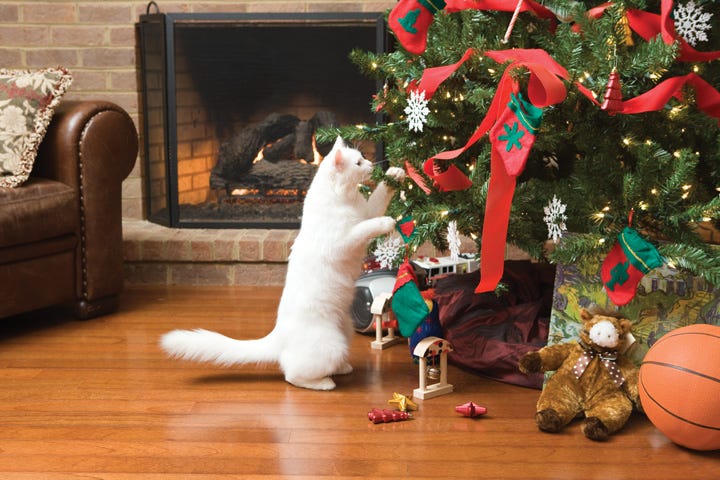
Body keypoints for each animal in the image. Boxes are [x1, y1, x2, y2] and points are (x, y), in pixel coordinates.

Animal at [160, 138, 402, 390]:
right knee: (292, 375)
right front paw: (387, 222)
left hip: (345, 331)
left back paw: (342, 369)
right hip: (331, 345)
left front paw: (395, 174)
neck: (347, 197)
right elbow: (365, 227)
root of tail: (278, 335)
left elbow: (377, 199)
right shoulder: (344, 240)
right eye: (358, 163)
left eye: (362, 157)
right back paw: (325, 383)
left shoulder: (367, 211)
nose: (372, 165)